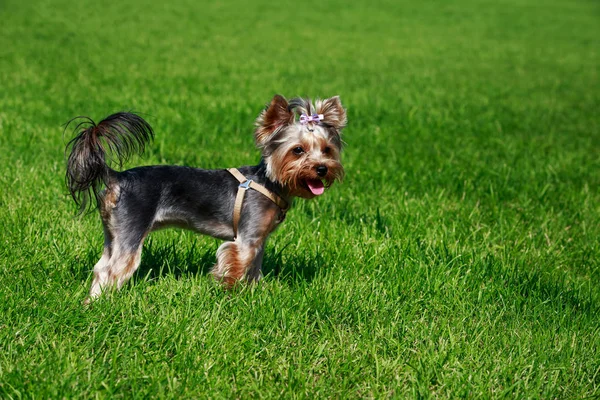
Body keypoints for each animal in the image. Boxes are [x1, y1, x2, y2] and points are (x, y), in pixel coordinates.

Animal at [64, 94, 346, 300]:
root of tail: (117, 177)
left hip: (113, 233)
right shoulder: (245, 240)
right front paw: (231, 295)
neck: (270, 181)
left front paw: (254, 293)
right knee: (113, 270)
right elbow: (237, 265)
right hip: (131, 231)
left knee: (101, 266)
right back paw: (101, 305)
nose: (322, 168)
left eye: (327, 150)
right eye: (297, 150)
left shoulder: (259, 239)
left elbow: (254, 268)